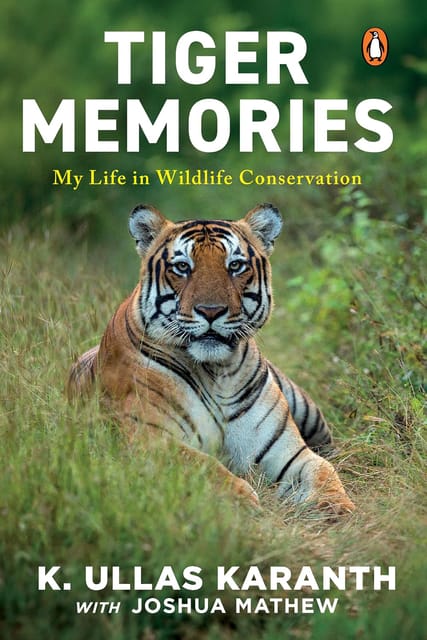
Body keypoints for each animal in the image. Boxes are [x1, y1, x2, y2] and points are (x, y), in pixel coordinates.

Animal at [68, 203, 355, 515]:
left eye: (235, 266)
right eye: (182, 267)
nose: (211, 311)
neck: (218, 373)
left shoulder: (287, 451)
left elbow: (322, 470)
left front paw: (337, 507)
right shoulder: (150, 438)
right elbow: (204, 466)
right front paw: (243, 503)